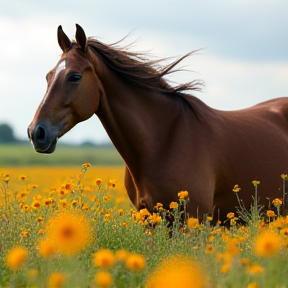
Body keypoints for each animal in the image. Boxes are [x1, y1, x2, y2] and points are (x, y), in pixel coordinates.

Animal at [27, 24, 288, 222]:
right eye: (48, 76)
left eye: (75, 77)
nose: (36, 132)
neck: (162, 141)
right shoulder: (150, 220)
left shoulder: (193, 221)